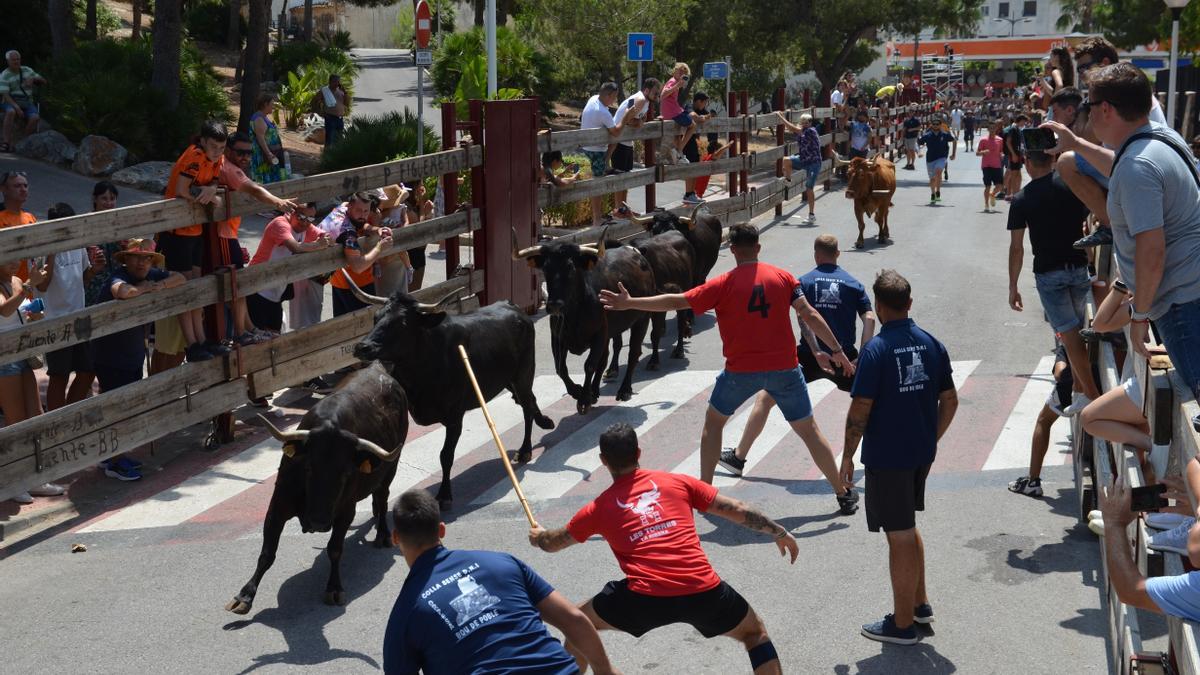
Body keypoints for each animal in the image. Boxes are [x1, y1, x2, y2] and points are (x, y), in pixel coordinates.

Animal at [225, 360, 408, 612]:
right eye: (309, 468)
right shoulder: (277, 506)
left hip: (391, 468)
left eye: (346, 473)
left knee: (382, 496)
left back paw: (382, 535)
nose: (319, 523)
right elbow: (267, 553)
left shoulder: (345, 512)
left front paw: (334, 588)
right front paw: (245, 595)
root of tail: (378, 368)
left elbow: (335, 549)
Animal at [348, 281, 552, 506]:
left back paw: (525, 450)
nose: (362, 347)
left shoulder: (455, 417)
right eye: (376, 317)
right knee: (529, 400)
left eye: (402, 323)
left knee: (527, 406)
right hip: (508, 379)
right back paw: (543, 425)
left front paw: (445, 494)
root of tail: (513, 306)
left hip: (524, 373)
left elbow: (446, 456)